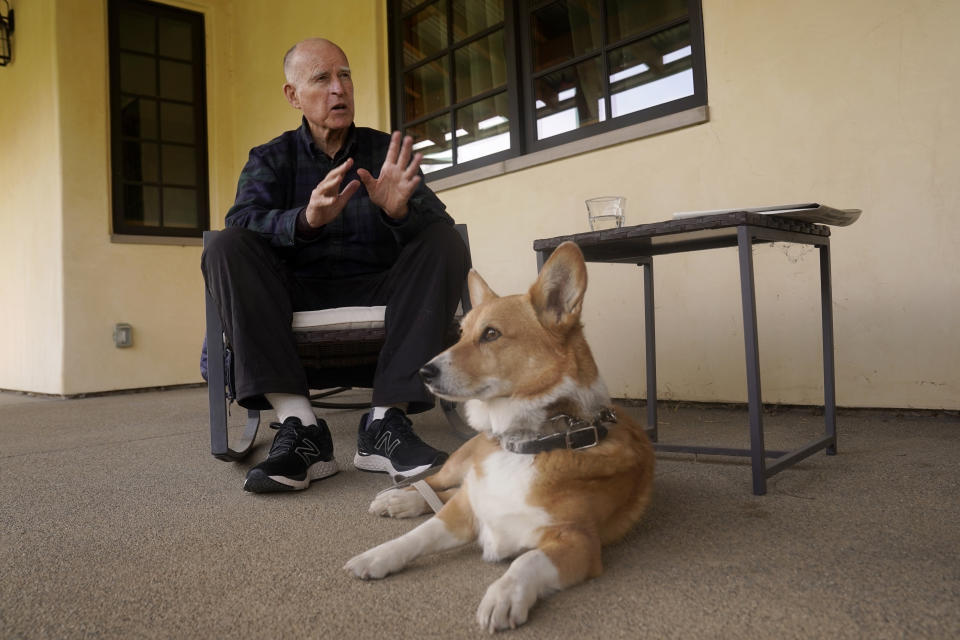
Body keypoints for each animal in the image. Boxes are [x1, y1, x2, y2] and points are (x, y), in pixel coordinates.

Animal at [344, 242, 652, 632]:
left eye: (491, 334)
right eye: (460, 333)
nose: (423, 373)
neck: (525, 443)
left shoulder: (578, 542)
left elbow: (526, 561)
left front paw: (504, 595)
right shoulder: (460, 513)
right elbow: (417, 536)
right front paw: (377, 556)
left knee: (445, 493)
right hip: (459, 466)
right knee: (435, 483)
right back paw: (397, 499)